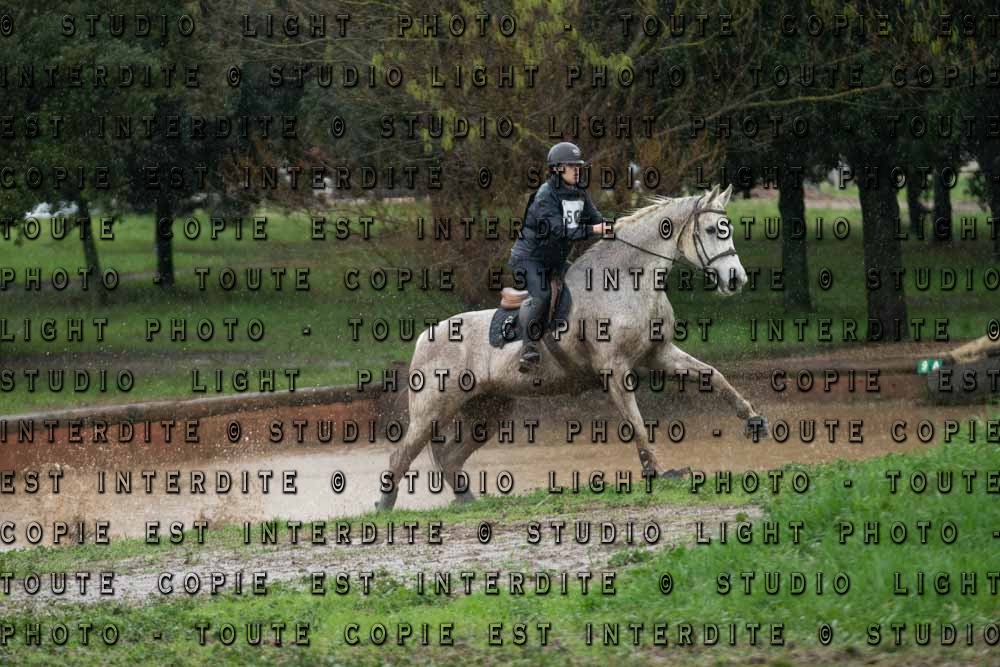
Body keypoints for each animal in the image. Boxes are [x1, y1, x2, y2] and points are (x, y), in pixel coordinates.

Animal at [374, 183, 770, 511]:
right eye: (710, 230)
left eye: (727, 228)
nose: (736, 279)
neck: (627, 281)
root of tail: (424, 338)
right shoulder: (615, 369)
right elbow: (636, 422)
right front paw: (656, 471)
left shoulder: (659, 355)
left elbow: (713, 376)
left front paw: (753, 421)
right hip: (432, 409)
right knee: (401, 455)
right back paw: (384, 506)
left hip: (487, 411)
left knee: (450, 458)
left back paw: (467, 501)